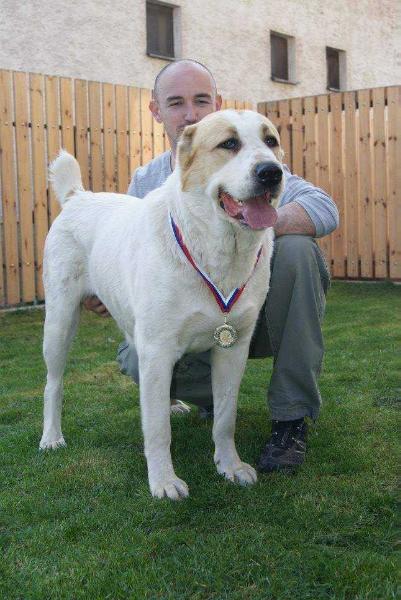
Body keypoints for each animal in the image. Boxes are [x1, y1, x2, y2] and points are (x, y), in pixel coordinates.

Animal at [39, 110, 284, 500]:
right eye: (229, 143)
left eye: (271, 141)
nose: (271, 172)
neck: (215, 250)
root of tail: (79, 196)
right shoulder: (157, 348)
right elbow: (156, 430)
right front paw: (164, 481)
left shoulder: (233, 349)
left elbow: (225, 418)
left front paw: (229, 466)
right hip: (60, 323)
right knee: (54, 383)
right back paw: (51, 437)